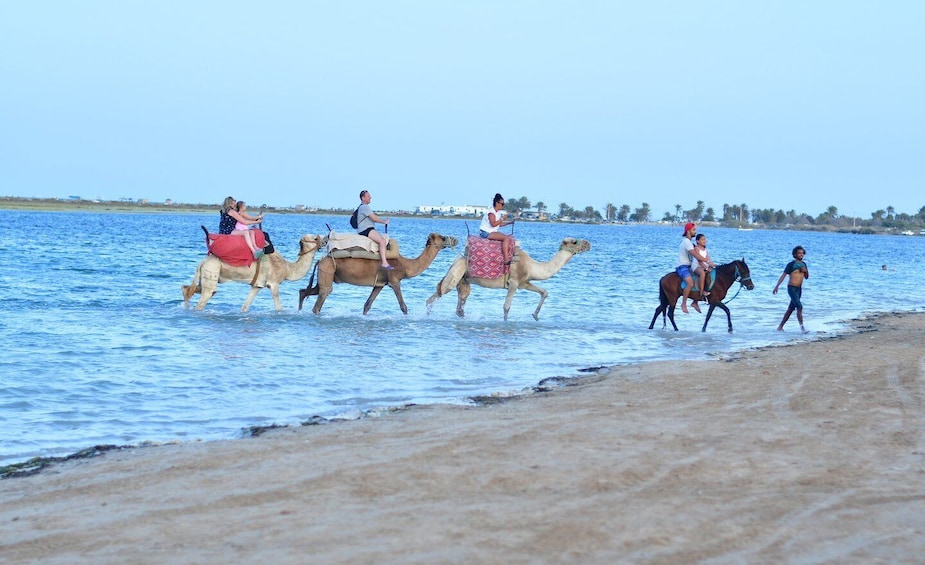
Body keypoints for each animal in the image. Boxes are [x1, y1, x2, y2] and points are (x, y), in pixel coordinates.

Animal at [181, 234, 324, 312]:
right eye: (315, 238)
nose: (326, 239)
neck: (287, 268)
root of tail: (202, 262)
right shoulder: (274, 283)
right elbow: (279, 308)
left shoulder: (257, 285)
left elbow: (245, 307)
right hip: (211, 271)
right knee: (204, 299)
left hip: (204, 276)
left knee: (187, 289)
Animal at [300, 231, 458, 316]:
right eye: (442, 237)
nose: (455, 239)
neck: (405, 265)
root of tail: (320, 260)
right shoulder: (394, 281)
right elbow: (403, 306)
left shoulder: (380, 284)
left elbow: (367, 305)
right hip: (328, 272)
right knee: (321, 298)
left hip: (326, 275)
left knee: (306, 291)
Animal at [426, 235, 592, 322]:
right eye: (574, 241)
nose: (588, 244)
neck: (532, 266)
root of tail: (457, 259)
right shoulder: (513, 282)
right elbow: (506, 307)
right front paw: (506, 323)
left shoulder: (524, 282)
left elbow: (544, 291)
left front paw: (535, 315)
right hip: (457, 273)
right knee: (437, 295)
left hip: (463, 280)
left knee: (459, 304)